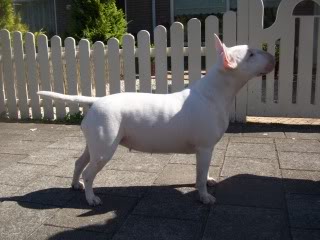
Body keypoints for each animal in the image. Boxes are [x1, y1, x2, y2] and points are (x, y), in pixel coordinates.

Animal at [38, 35, 276, 206]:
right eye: (251, 54)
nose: (273, 56)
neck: (215, 92)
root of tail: (96, 100)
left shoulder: (206, 149)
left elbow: (204, 170)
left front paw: (209, 180)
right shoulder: (204, 147)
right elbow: (199, 177)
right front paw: (205, 197)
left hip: (95, 144)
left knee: (79, 162)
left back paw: (75, 184)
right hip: (105, 148)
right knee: (89, 172)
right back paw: (91, 198)